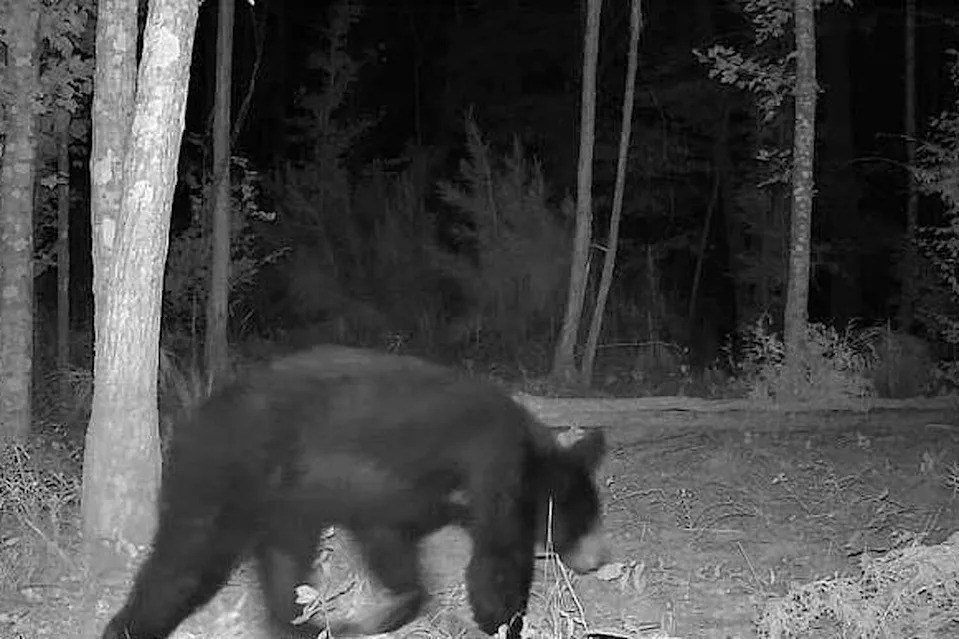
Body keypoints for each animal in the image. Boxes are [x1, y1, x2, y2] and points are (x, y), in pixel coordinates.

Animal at [101, 345, 609, 639]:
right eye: (582, 520)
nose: (597, 559)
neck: (527, 455)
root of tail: (193, 419)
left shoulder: (394, 499)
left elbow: (393, 546)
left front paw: (380, 614)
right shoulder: (489, 469)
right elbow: (496, 559)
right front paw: (503, 620)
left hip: (286, 508)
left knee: (284, 568)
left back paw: (304, 627)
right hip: (227, 479)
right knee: (186, 561)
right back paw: (128, 625)